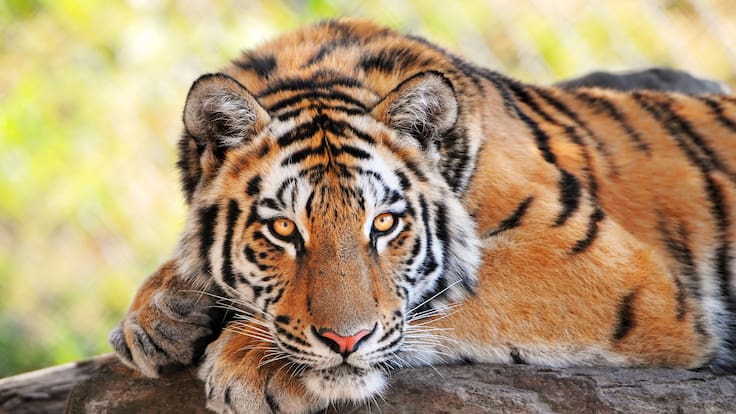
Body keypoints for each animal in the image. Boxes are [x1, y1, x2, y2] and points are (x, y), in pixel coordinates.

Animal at [109, 18, 736, 414]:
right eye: (284, 229)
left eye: (384, 224)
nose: (345, 341)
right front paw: (159, 315)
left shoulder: (609, 269)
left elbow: (444, 297)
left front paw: (250, 362)